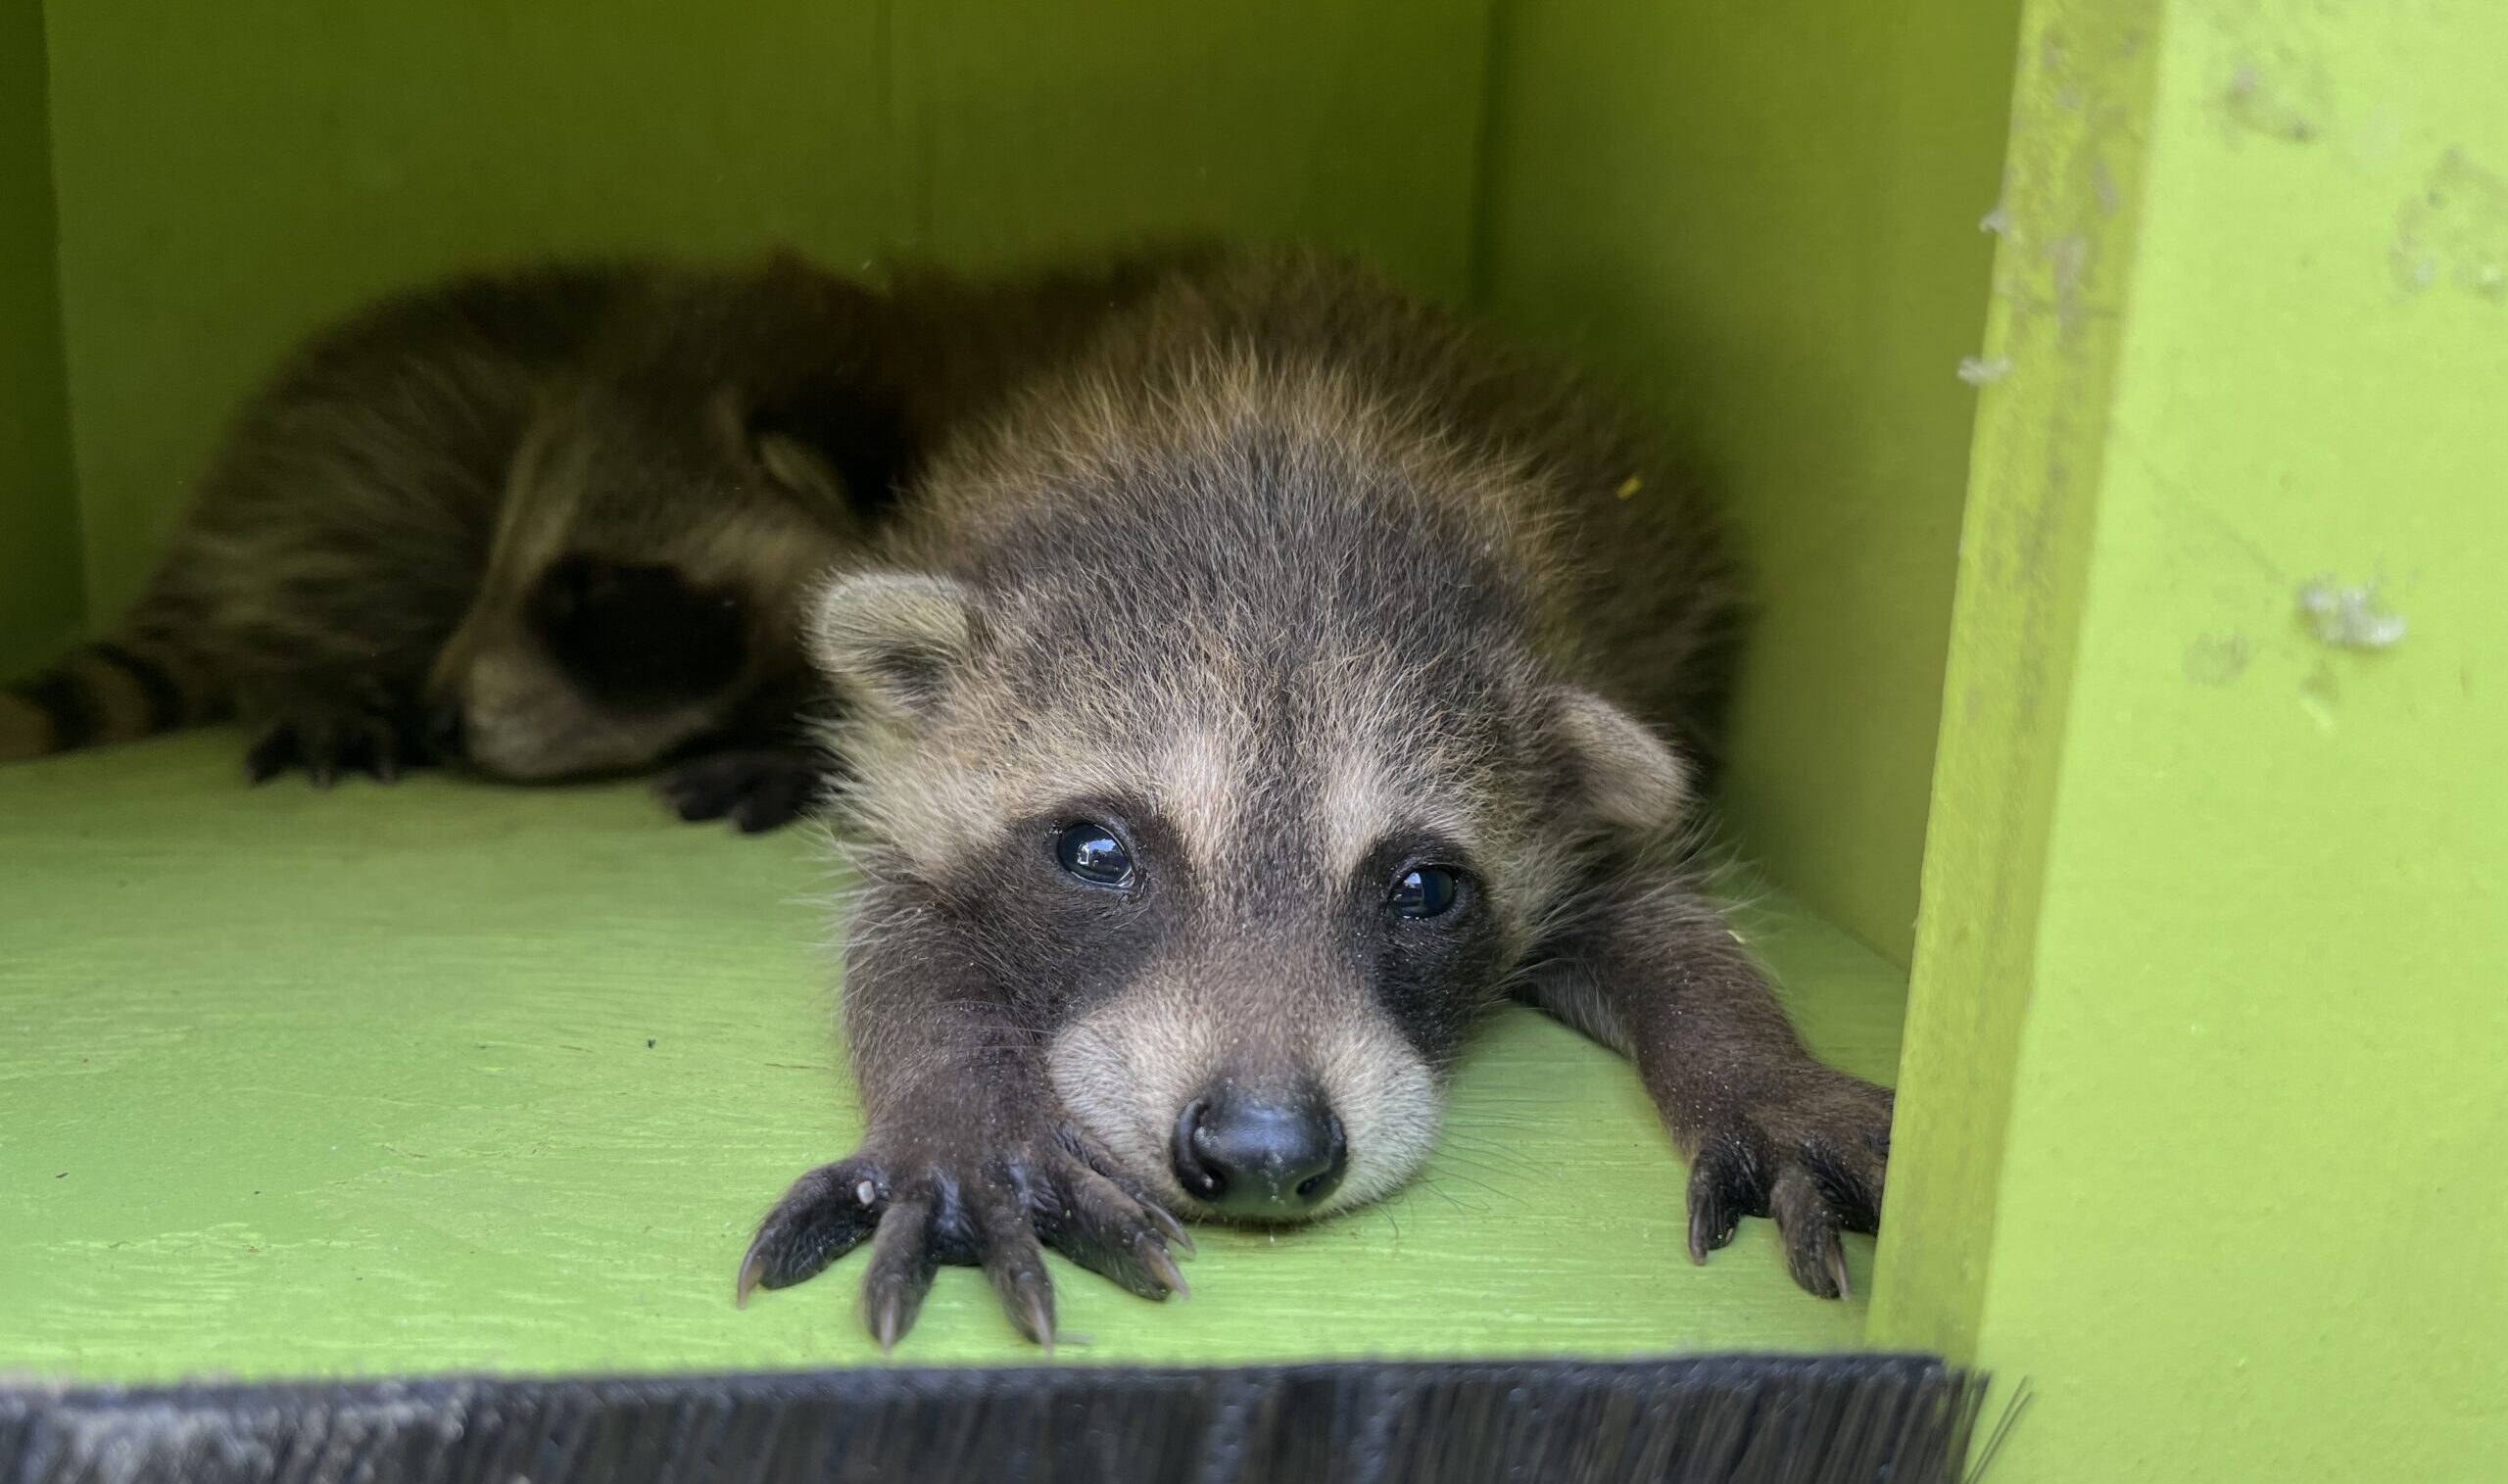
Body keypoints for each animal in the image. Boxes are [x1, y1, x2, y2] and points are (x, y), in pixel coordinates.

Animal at [738, 248, 1896, 1349]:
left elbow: (1667, 918)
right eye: (1095, 853)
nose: (1262, 1149)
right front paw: (964, 1114)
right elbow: (901, 934)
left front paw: (1758, 1069)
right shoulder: (903, 775)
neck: (1280, 464)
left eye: (1426, 888)